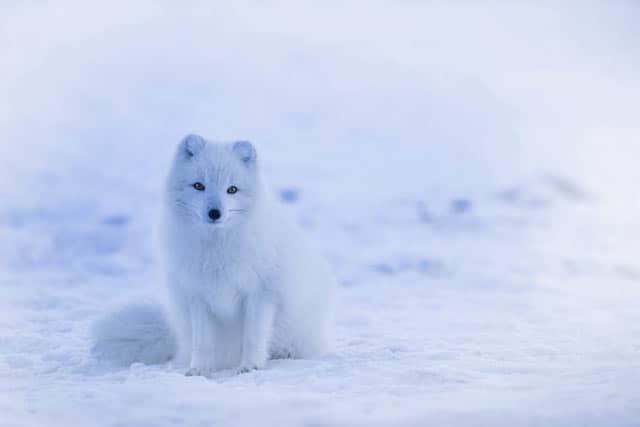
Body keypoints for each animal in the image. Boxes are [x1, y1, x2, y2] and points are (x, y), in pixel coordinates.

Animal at [94, 135, 338, 376]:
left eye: (232, 189)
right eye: (198, 186)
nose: (214, 213)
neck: (217, 248)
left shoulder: (260, 293)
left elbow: (253, 337)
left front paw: (251, 366)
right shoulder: (197, 296)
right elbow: (202, 342)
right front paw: (199, 370)